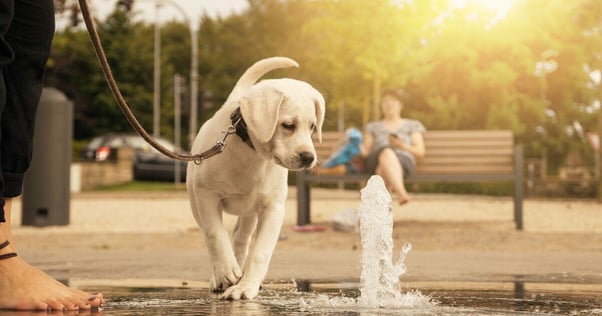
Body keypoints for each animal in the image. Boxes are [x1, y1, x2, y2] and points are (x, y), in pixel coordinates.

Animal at [186, 56, 324, 298]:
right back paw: (220, 276)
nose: (309, 157)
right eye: (288, 125)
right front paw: (226, 270)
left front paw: (246, 286)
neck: (252, 154)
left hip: (249, 213)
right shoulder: (206, 195)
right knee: (211, 235)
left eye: (313, 127)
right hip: (196, 204)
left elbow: (260, 251)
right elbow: (215, 234)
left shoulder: (273, 208)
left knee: (241, 238)